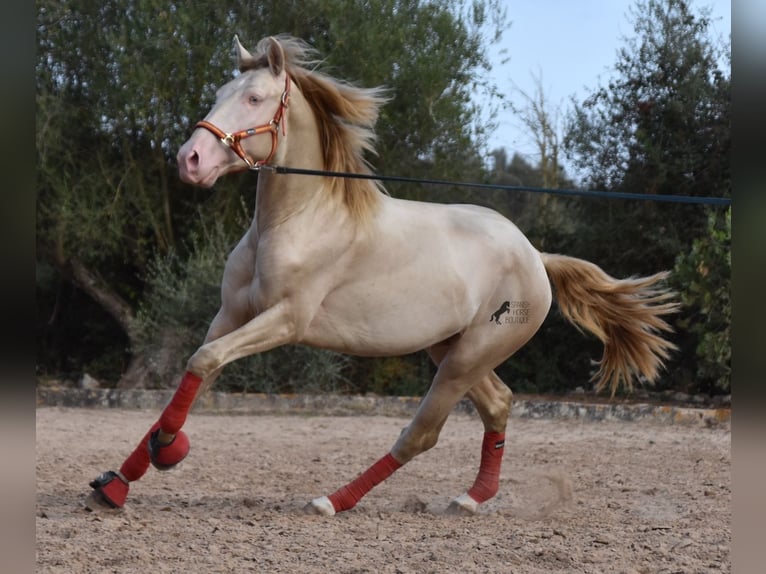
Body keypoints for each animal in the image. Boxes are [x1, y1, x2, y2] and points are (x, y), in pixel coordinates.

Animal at [90, 36, 680, 520]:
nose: (190, 160)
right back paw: (471, 498)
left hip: (466, 358)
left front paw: (167, 449)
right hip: (452, 350)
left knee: (421, 434)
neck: (299, 219)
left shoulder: (285, 320)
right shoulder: (231, 314)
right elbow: (195, 370)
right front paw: (120, 479)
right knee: (498, 404)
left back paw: (334, 500)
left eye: (255, 98)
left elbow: (203, 362)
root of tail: (533, 255)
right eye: (219, 92)